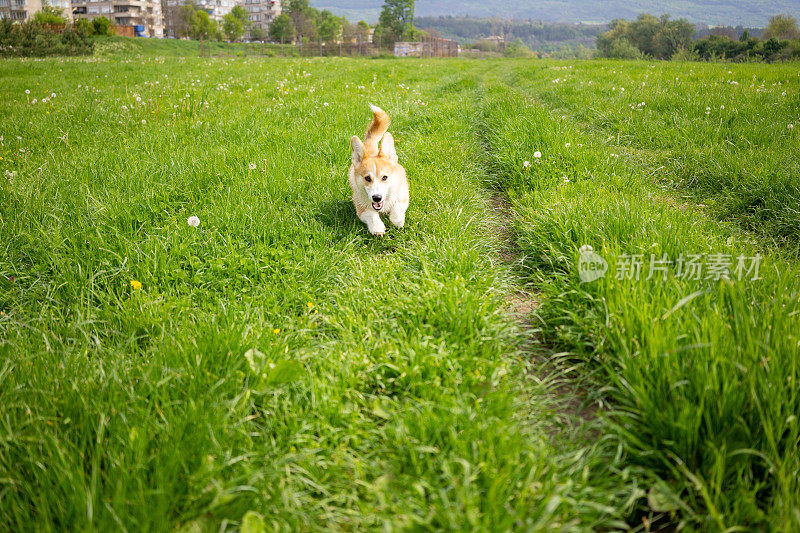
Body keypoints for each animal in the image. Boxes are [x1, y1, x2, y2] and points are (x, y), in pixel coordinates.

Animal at [348, 104, 410, 237]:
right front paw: (377, 227)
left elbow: (397, 206)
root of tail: (370, 149)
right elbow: (371, 214)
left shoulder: (403, 195)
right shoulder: (361, 207)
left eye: (385, 177)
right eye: (367, 178)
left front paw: (397, 220)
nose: (377, 198)